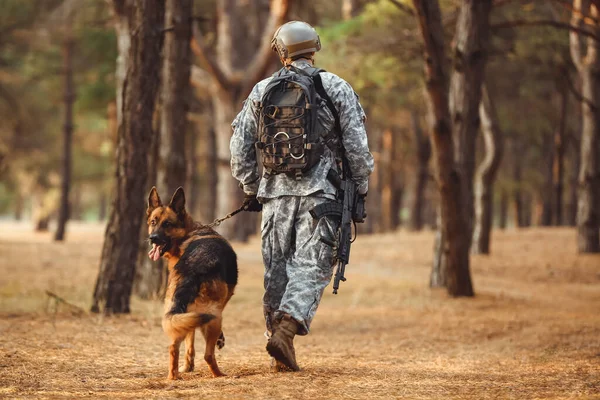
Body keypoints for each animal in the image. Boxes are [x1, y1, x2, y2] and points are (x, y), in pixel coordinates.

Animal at [146, 186, 238, 380]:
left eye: (167, 224)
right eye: (153, 222)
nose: (153, 238)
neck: (189, 232)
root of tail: (192, 269)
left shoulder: (186, 313)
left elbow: (190, 340)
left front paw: (188, 367)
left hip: (176, 312)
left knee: (174, 346)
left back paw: (173, 376)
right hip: (214, 316)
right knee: (208, 355)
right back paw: (219, 374)